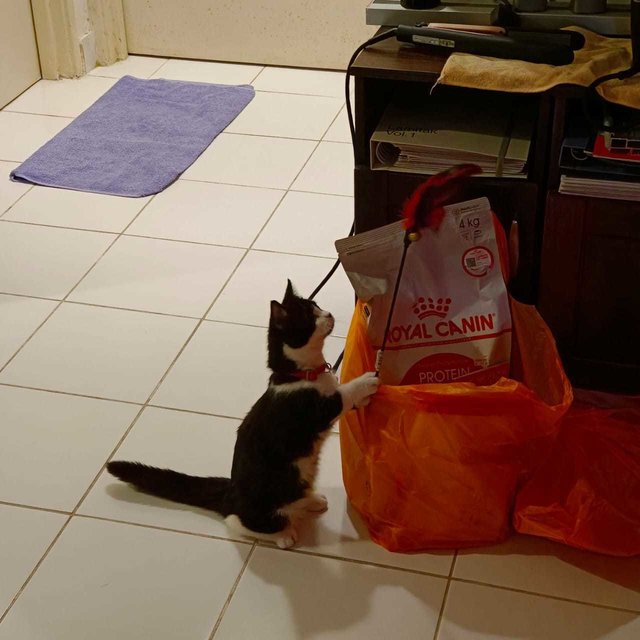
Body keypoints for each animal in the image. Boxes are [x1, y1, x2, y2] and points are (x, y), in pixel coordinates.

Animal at [108, 282, 380, 548]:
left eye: (316, 305)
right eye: (308, 316)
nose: (329, 314)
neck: (301, 374)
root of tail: (229, 491)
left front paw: (365, 396)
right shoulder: (315, 409)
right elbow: (344, 394)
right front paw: (367, 381)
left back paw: (312, 500)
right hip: (262, 508)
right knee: (237, 522)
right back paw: (285, 535)